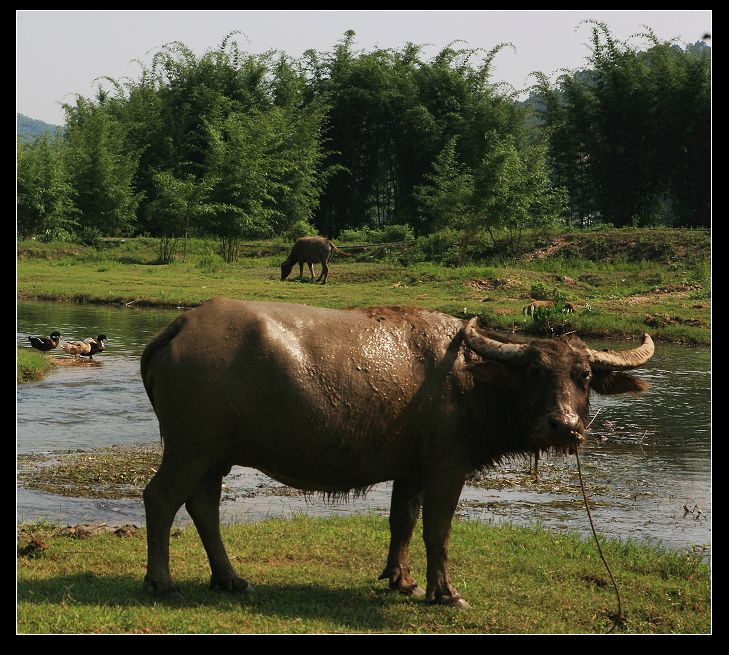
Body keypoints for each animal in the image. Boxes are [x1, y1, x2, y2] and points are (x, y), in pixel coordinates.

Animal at [142, 300, 656, 608]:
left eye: (583, 376)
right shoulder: (447, 468)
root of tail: (181, 325)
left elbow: (402, 522)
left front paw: (400, 578)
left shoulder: (410, 471)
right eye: (534, 371)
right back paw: (162, 582)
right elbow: (437, 530)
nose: (564, 426)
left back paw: (229, 578)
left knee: (204, 506)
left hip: (212, 455)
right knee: (161, 499)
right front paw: (444, 592)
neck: (471, 383)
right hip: (189, 449)